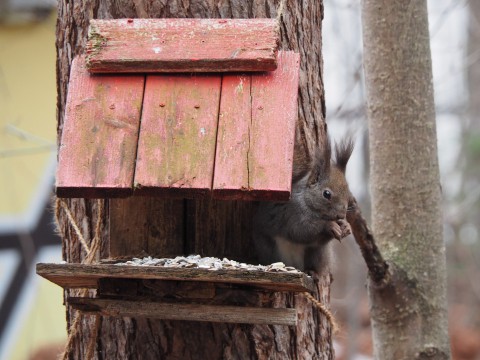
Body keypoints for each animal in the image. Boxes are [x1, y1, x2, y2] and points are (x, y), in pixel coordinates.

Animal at [253, 136, 354, 274]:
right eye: (326, 194)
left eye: (348, 193)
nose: (341, 215)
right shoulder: (292, 213)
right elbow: (301, 231)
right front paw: (329, 226)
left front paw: (346, 226)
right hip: (271, 249)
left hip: (316, 254)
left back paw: (313, 273)